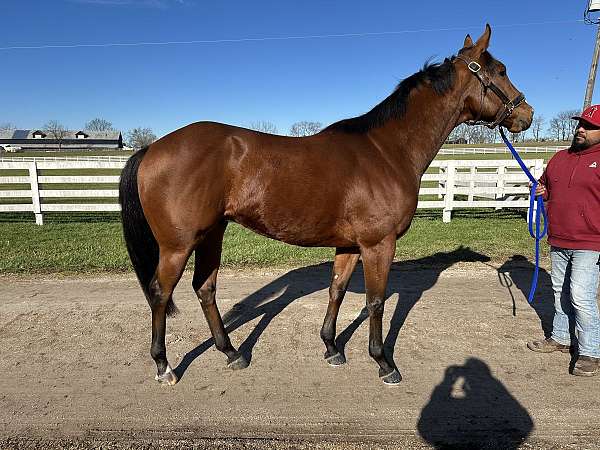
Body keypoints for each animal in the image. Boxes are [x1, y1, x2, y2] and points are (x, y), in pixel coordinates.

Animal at [119, 24, 532, 384]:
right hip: (178, 245)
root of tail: (152, 148)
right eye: (501, 70)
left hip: (212, 234)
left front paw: (332, 347)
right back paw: (164, 366)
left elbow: (337, 290)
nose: (525, 114)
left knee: (205, 288)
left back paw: (232, 353)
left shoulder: (350, 245)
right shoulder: (379, 244)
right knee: (160, 293)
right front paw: (383, 362)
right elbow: (376, 301)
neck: (386, 151)